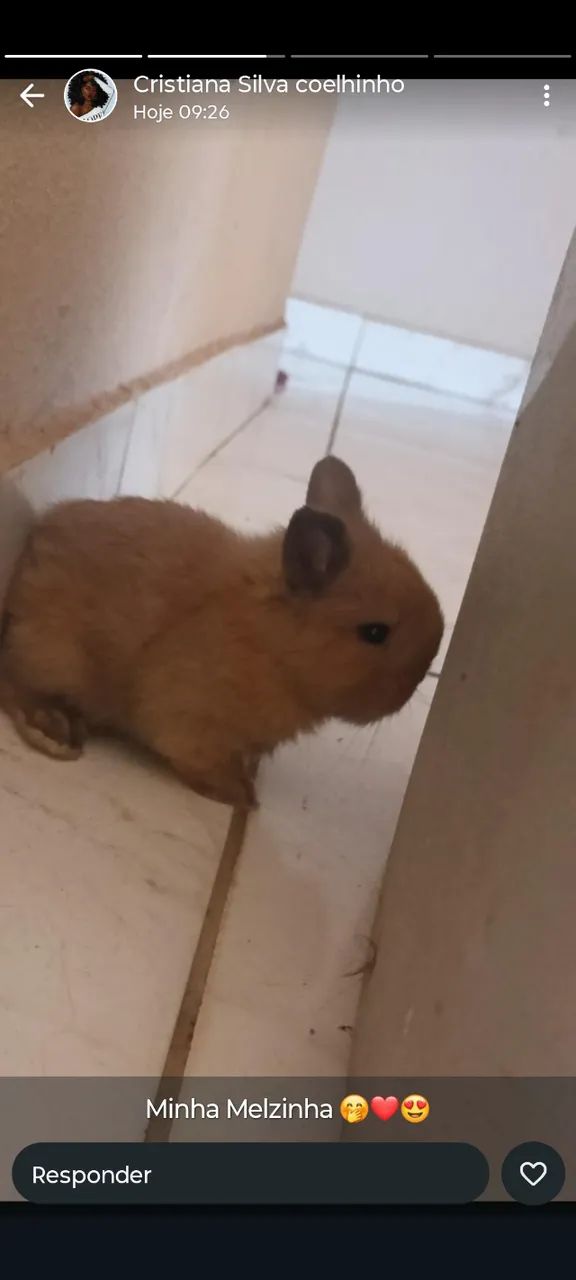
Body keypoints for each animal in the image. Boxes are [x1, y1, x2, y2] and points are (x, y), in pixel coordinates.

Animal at [0, 456, 444, 809]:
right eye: (375, 632)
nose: (420, 676)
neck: (272, 644)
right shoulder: (189, 717)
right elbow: (196, 758)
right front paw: (241, 795)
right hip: (53, 658)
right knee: (16, 686)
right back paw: (56, 729)